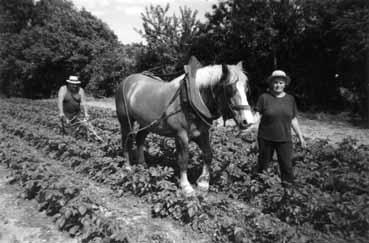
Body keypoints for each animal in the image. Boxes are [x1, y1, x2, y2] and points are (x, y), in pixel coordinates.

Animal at [115, 58, 253, 195]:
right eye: (230, 88)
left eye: (246, 88)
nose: (248, 121)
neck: (191, 101)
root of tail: (128, 80)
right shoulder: (181, 135)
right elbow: (183, 160)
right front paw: (186, 187)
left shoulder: (202, 133)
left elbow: (208, 154)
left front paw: (203, 183)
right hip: (126, 121)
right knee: (126, 141)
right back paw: (127, 168)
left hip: (147, 123)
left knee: (140, 139)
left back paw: (142, 165)